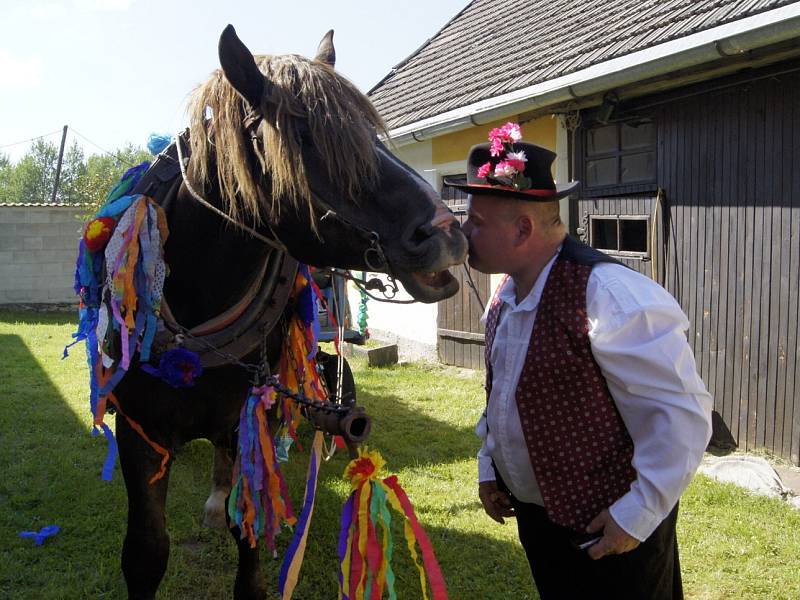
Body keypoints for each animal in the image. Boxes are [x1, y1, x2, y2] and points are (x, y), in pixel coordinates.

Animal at [105, 24, 468, 600]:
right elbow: (146, 550)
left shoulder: (251, 418)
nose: (447, 232)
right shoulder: (139, 432)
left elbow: (250, 538)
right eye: (305, 137)